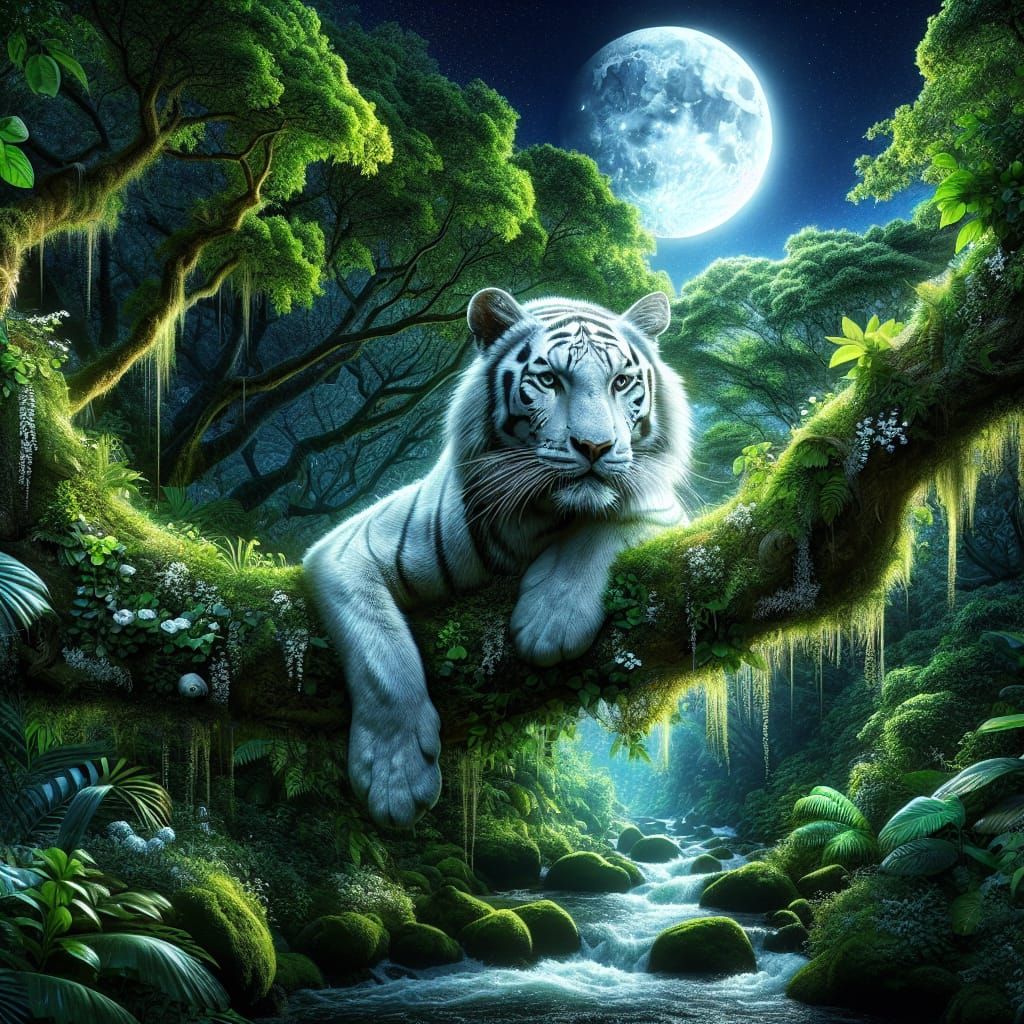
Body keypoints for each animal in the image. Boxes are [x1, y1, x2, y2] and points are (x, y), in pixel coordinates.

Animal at [303, 287, 692, 828]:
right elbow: (381, 655)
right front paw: (395, 778)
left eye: (621, 382)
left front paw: (550, 623)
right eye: (549, 379)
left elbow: (609, 526)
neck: (546, 515)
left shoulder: (668, 513)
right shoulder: (345, 549)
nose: (596, 446)